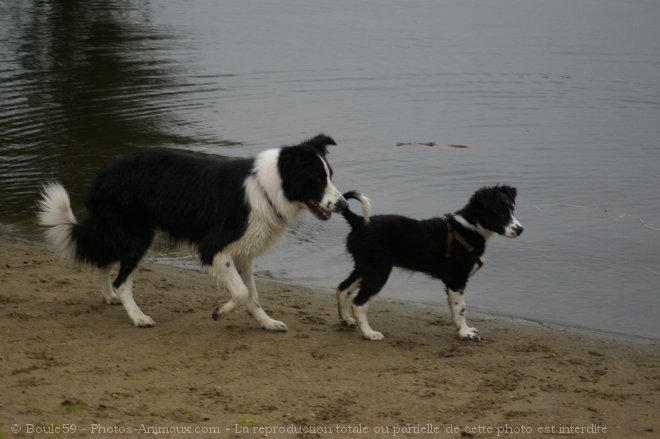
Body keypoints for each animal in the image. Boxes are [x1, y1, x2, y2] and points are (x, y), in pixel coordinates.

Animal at [36, 134, 348, 330]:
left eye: (331, 176)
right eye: (317, 179)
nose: (344, 205)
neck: (267, 189)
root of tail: (101, 177)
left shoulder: (243, 255)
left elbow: (252, 294)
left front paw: (267, 322)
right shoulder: (215, 248)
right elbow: (241, 292)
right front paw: (219, 312)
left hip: (124, 235)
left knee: (105, 262)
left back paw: (108, 296)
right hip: (139, 237)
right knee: (122, 280)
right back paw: (138, 317)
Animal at [338, 186, 524, 344]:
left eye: (511, 209)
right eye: (499, 212)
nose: (520, 229)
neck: (468, 229)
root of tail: (359, 221)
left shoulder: (452, 283)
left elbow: (454, 310)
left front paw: (462, 331)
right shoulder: (457, 279)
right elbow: (460, 309)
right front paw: (465, 333)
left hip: (365, 267)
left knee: (342, 288)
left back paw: (346, 320)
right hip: (378, 271)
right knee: (359, 303)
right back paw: (369, 333)